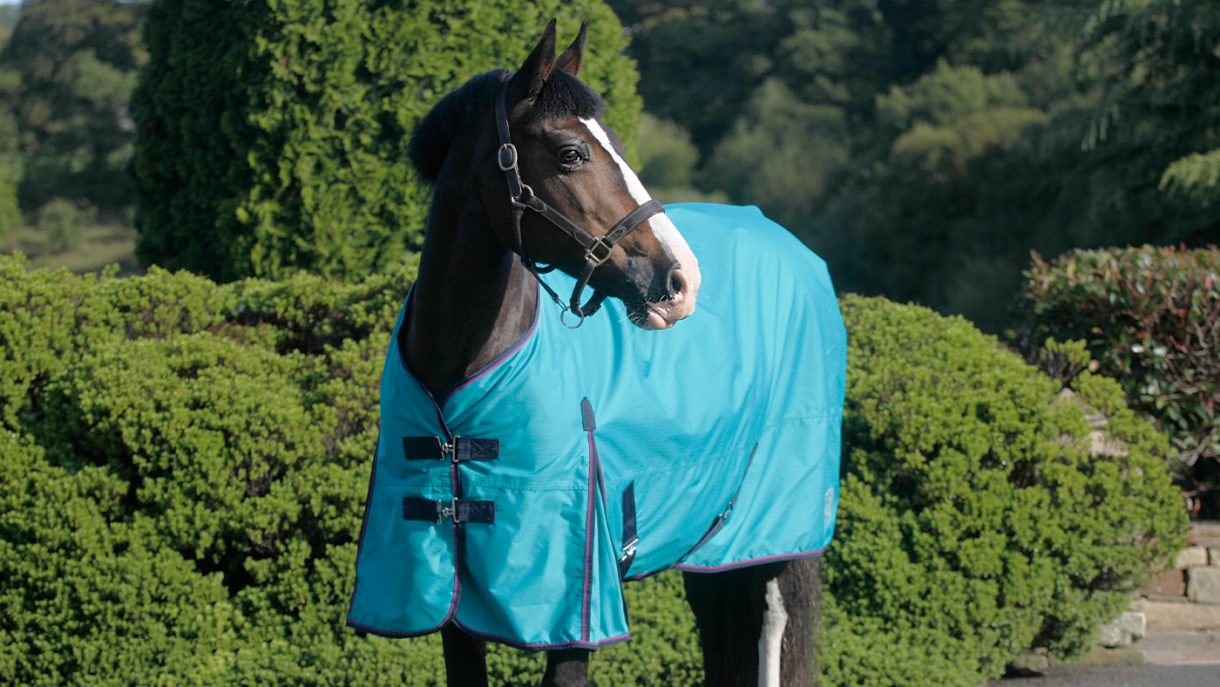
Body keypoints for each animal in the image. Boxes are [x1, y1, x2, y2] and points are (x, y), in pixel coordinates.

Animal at [346, 20, 846, 687]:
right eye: (571, 153)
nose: (682, 280)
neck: (459, 379)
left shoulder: (571, 607)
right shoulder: (453, 610)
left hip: (769, 532)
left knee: (769, 630)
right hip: (705, 537)